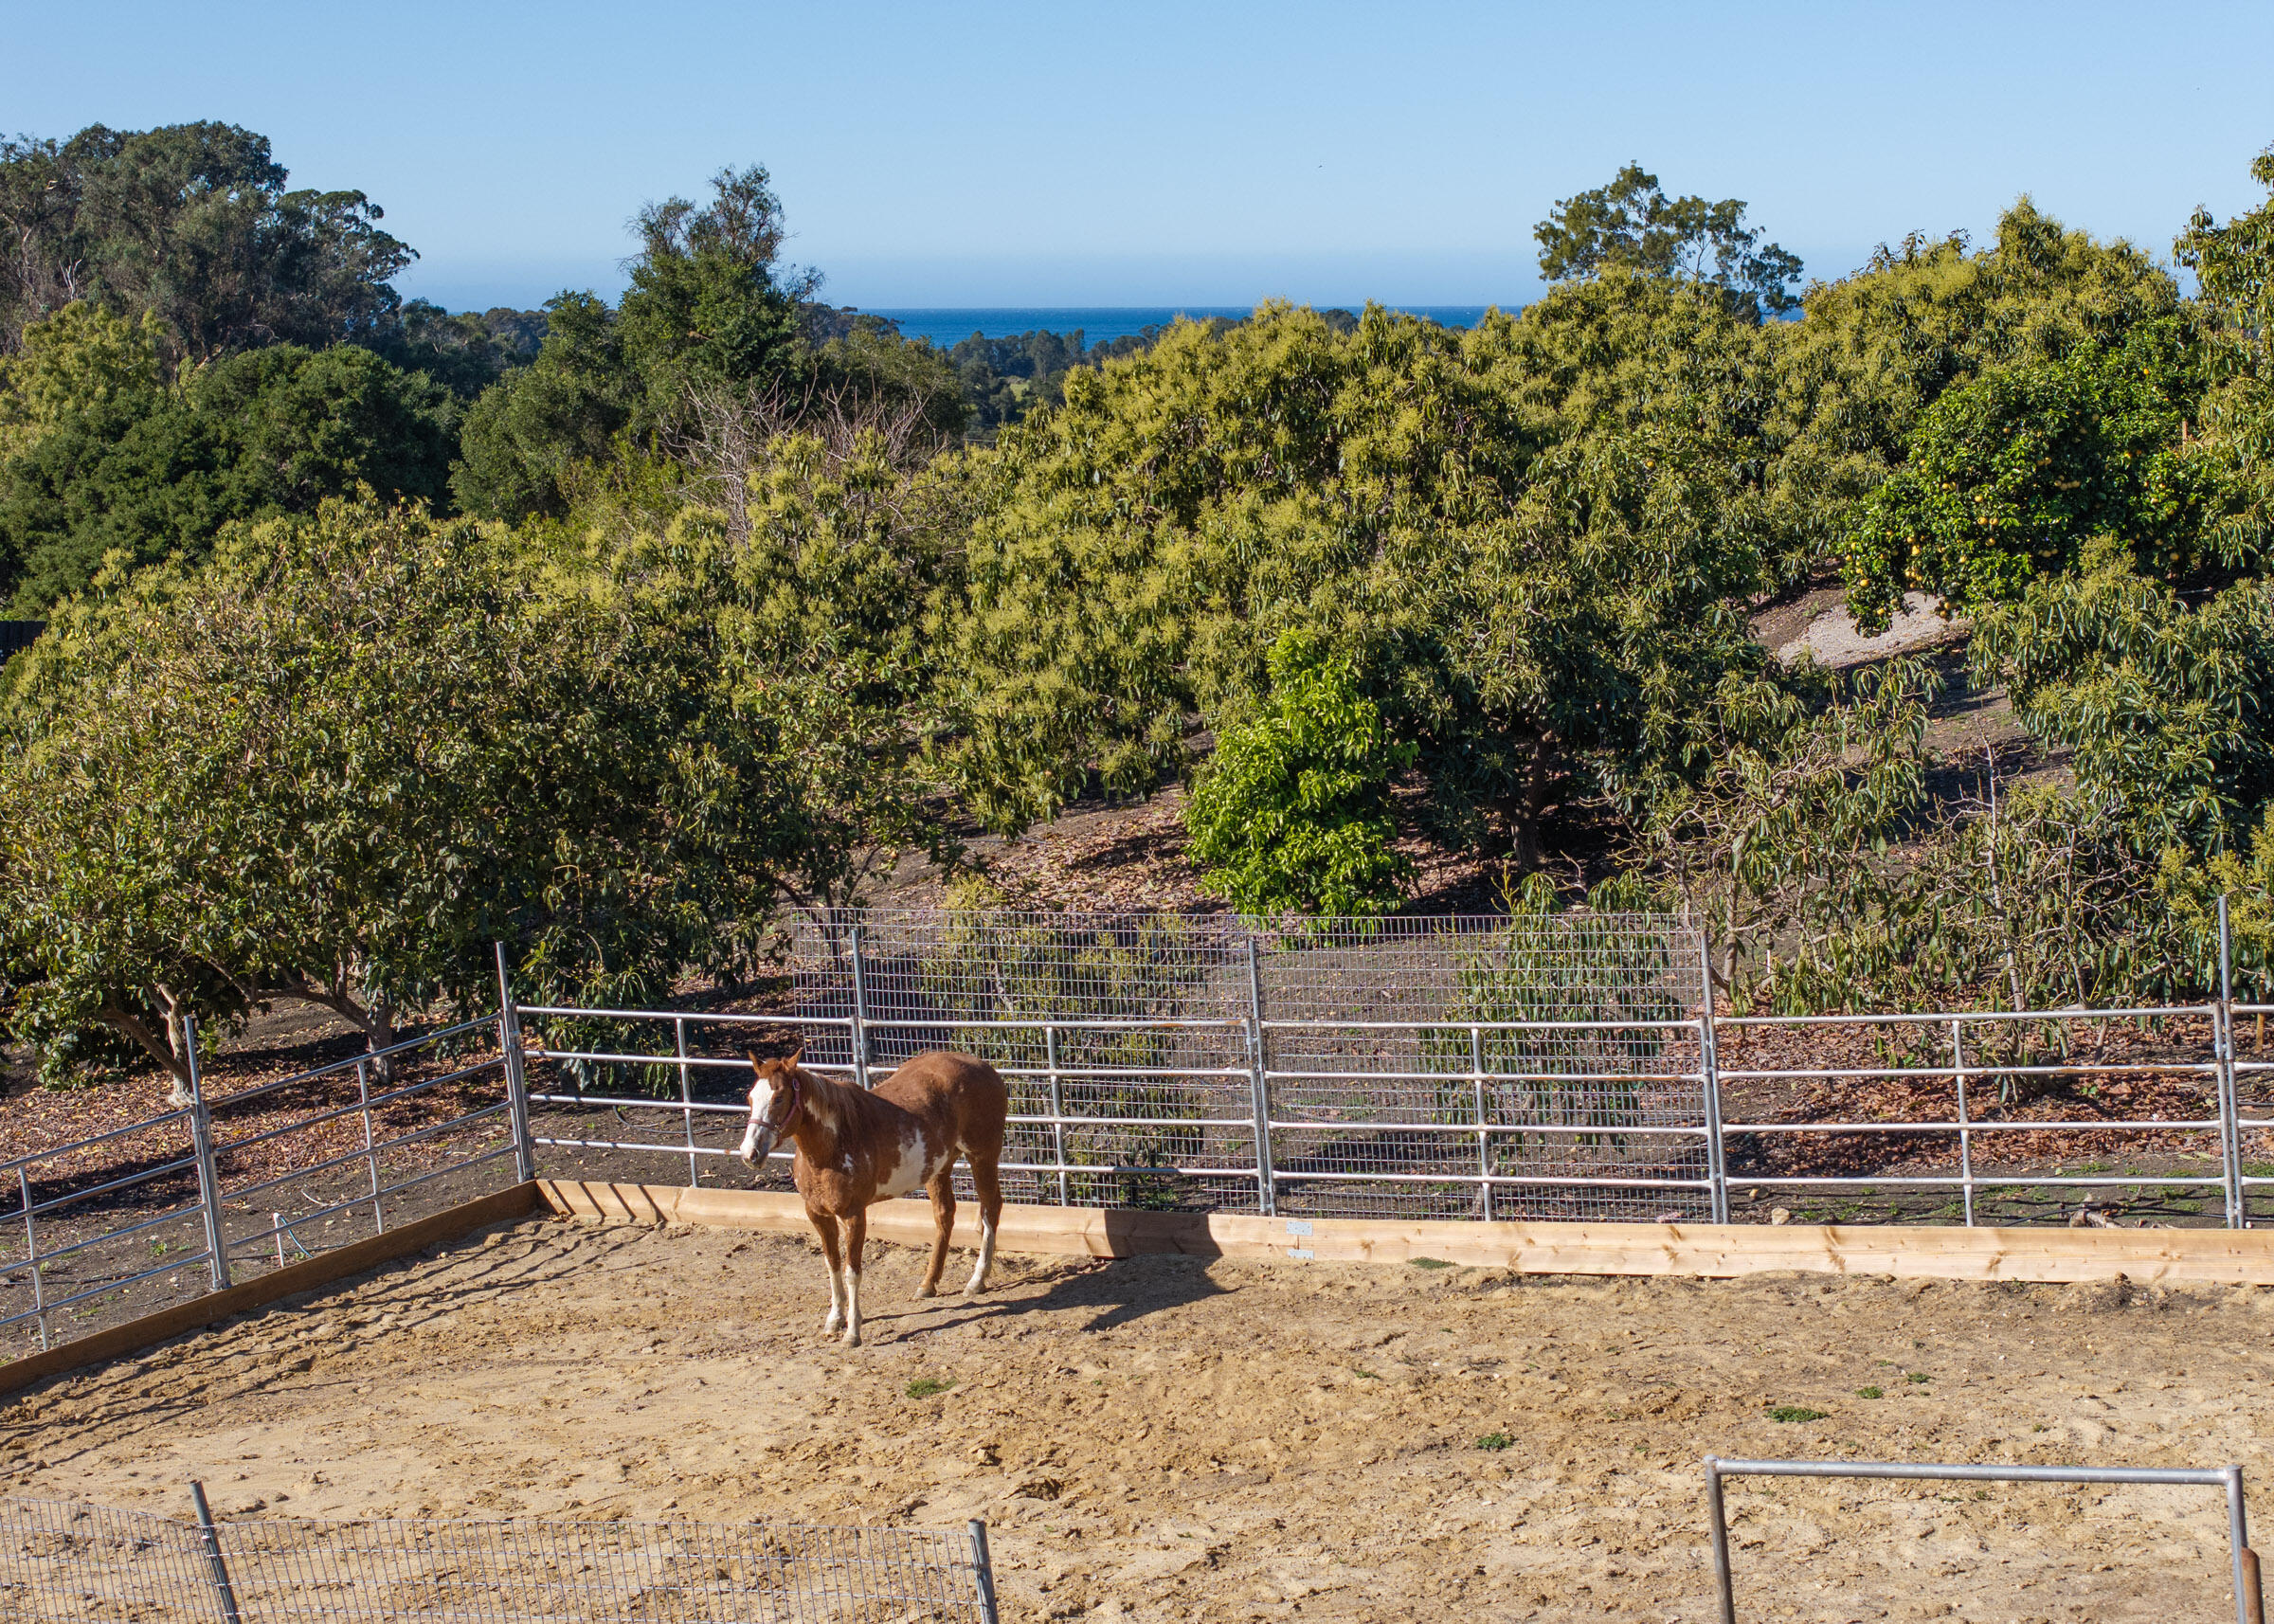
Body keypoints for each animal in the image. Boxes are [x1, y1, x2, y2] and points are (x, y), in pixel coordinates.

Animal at [737, 1045, 1008, 1347]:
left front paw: (852, 1332)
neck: (832, 1145)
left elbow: (852, 1272)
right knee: (945, 1215)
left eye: (779, 1097)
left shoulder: (854, 1215)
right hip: (940, 1166)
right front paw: (834, 1320)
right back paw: (928, 1284)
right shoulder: (817, 1214)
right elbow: (832, 1264)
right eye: (750, 1098)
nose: (749, 1153)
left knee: (990, 1209)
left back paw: (976, 1281)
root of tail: (984, 1066)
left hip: (982, 1156)